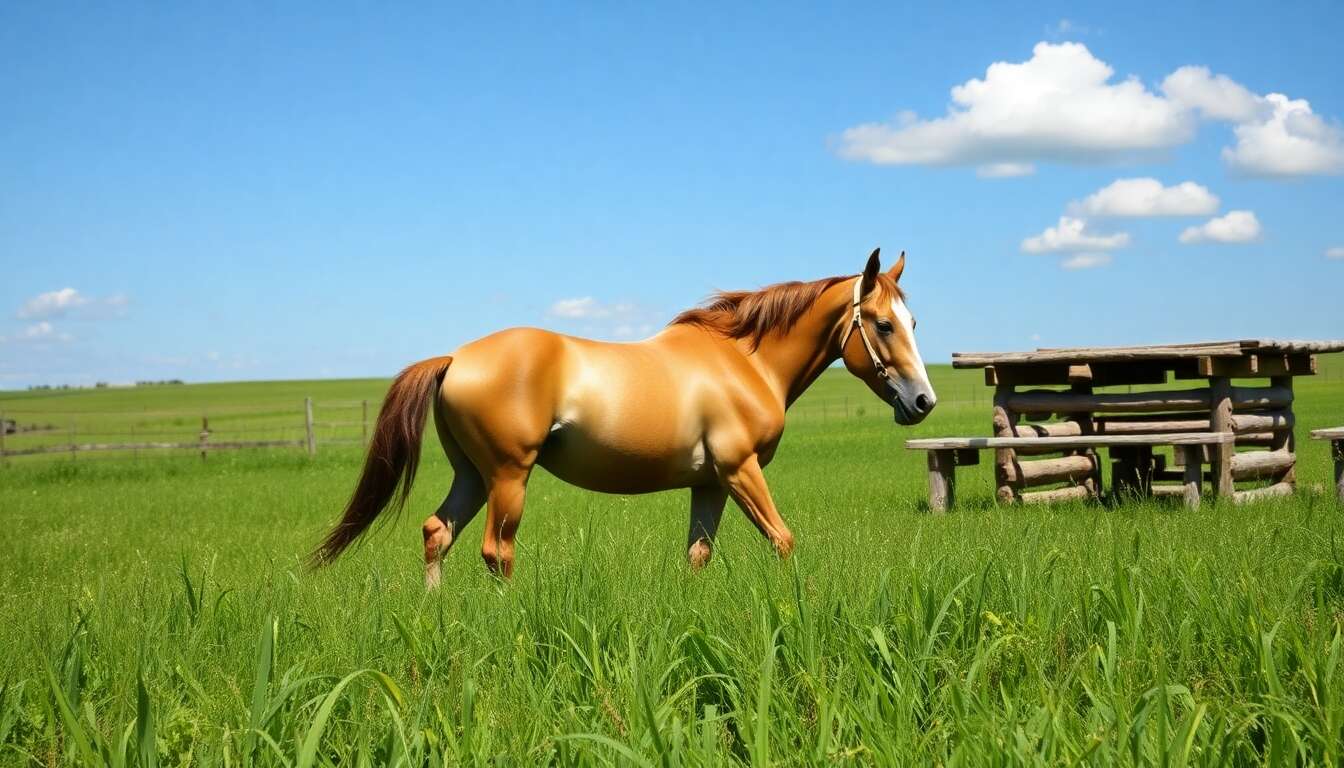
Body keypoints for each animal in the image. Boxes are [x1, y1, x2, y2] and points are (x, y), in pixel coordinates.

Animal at [311, 248, 936, 585]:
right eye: (883, 324)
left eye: (913, 322)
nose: (923, 402)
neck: (743, 360)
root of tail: (454, 358)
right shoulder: (741, 470)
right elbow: (782, 539)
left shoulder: (710, 483)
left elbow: (697, 555)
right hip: (509, 476)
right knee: (496, 551)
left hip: (472, 475)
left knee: (437, 533)